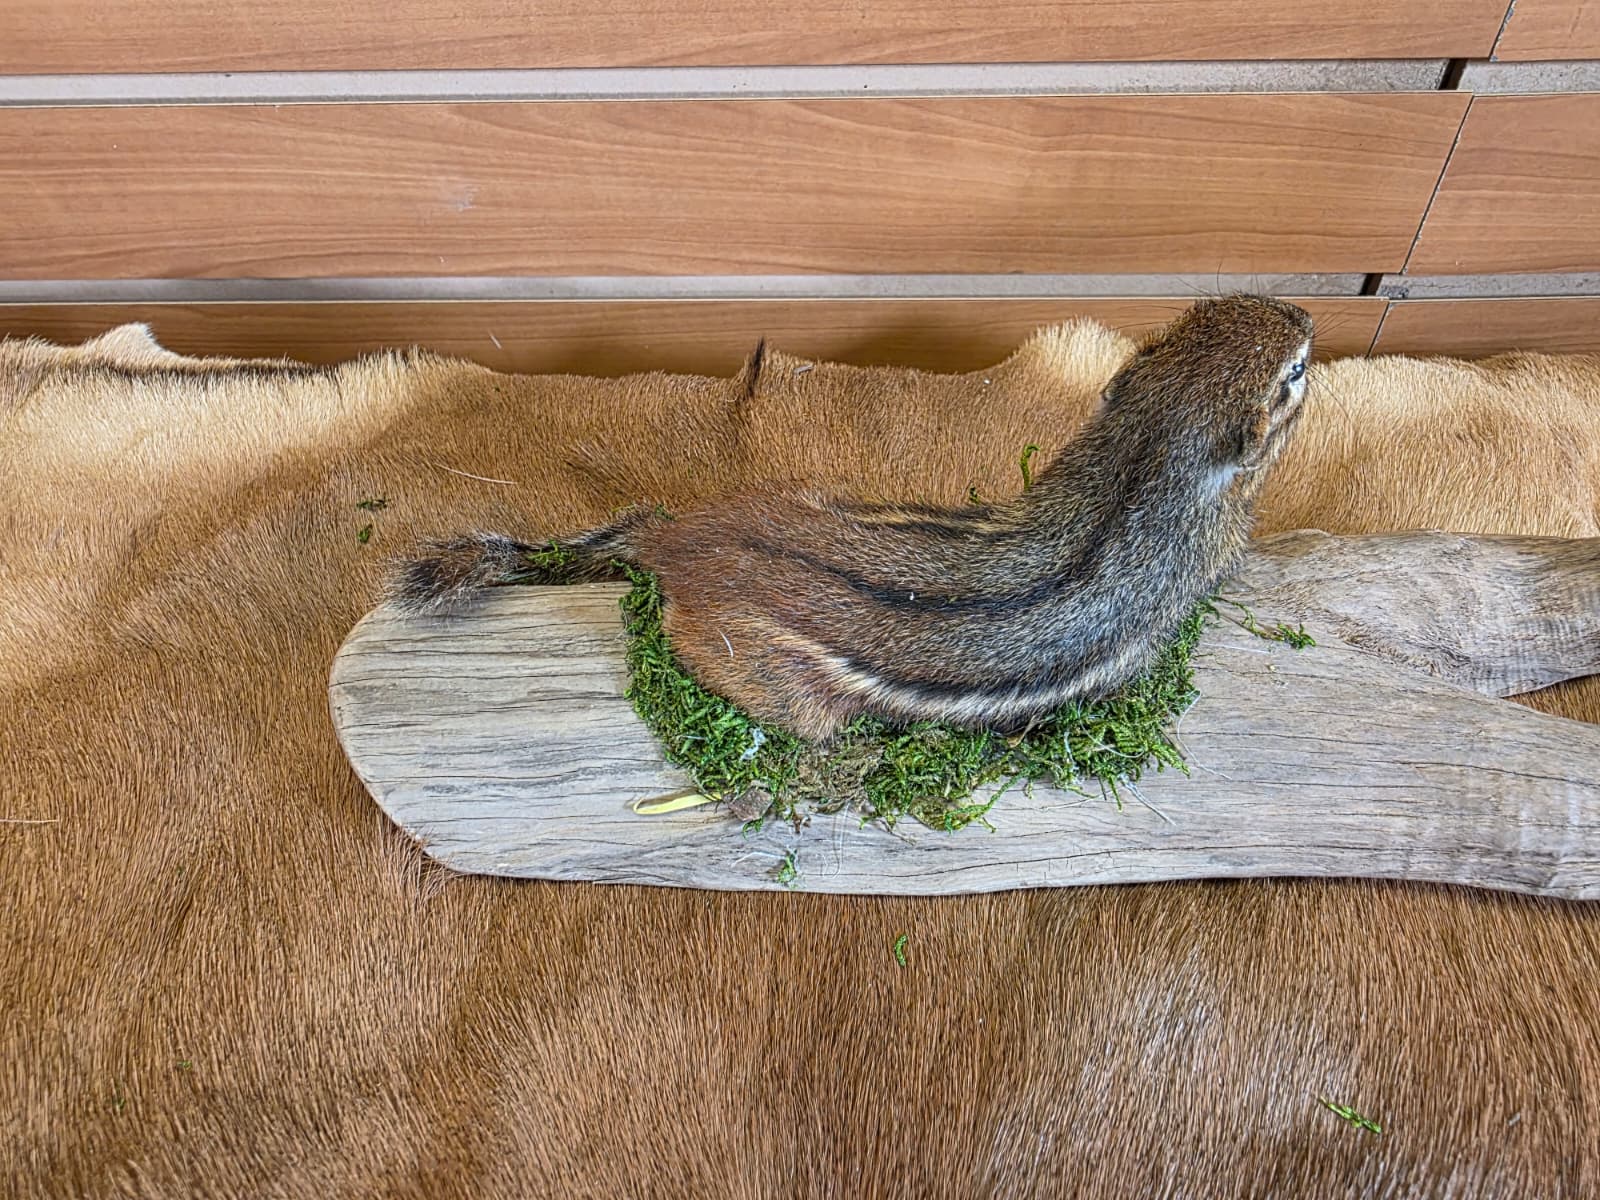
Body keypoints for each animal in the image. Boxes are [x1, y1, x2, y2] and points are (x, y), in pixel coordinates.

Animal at [391, 294, 1314, 742]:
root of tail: (680, 539)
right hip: (781, 689)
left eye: (1198, 313)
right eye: (1295, 374)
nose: (1302, 313)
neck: (1139, 459)